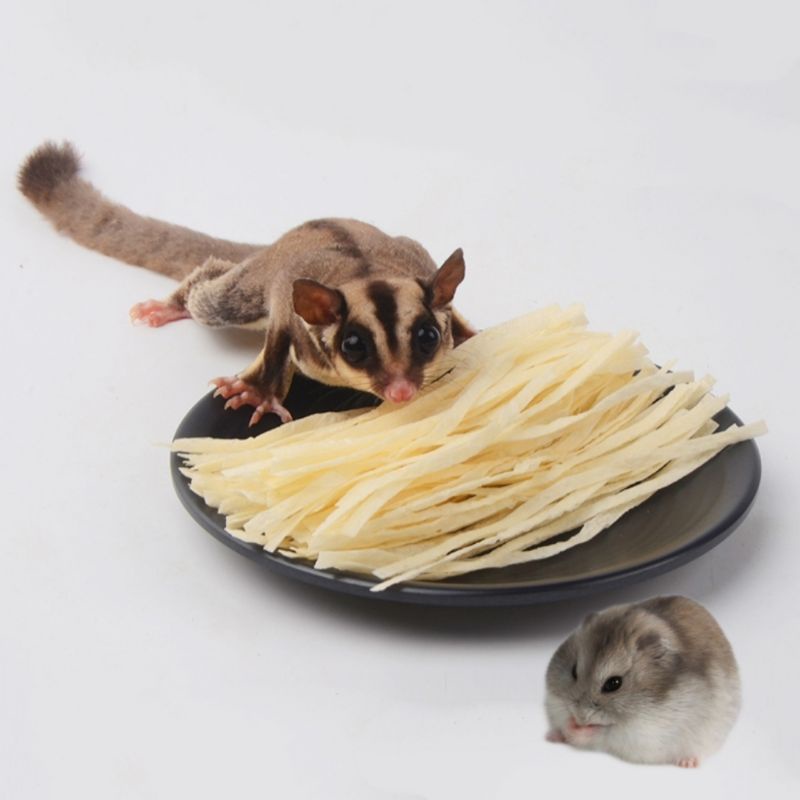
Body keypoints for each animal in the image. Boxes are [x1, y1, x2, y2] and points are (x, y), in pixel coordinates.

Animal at [545, 596, 741, 768]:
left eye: (614, 683)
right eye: (574, 671)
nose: (580, 717)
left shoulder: (639, 733)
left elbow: (603, 732)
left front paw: (577, 728)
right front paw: (568, 726)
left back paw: (688, 763)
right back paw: (552, 736)